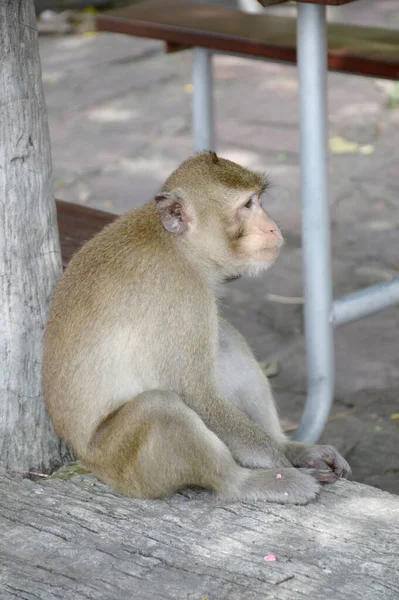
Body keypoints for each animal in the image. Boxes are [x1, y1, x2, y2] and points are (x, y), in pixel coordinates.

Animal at [43, 152, 350, 504]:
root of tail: (88, 461)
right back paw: (248, 482)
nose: (272, 226)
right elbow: (197, 396)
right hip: (123, 465)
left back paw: (290, 447)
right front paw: (284, 460)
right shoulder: (181, 296)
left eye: (259, 200)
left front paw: (295, 453)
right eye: (247, 205)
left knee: (225, 338)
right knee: (160, 407)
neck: (179, 246)